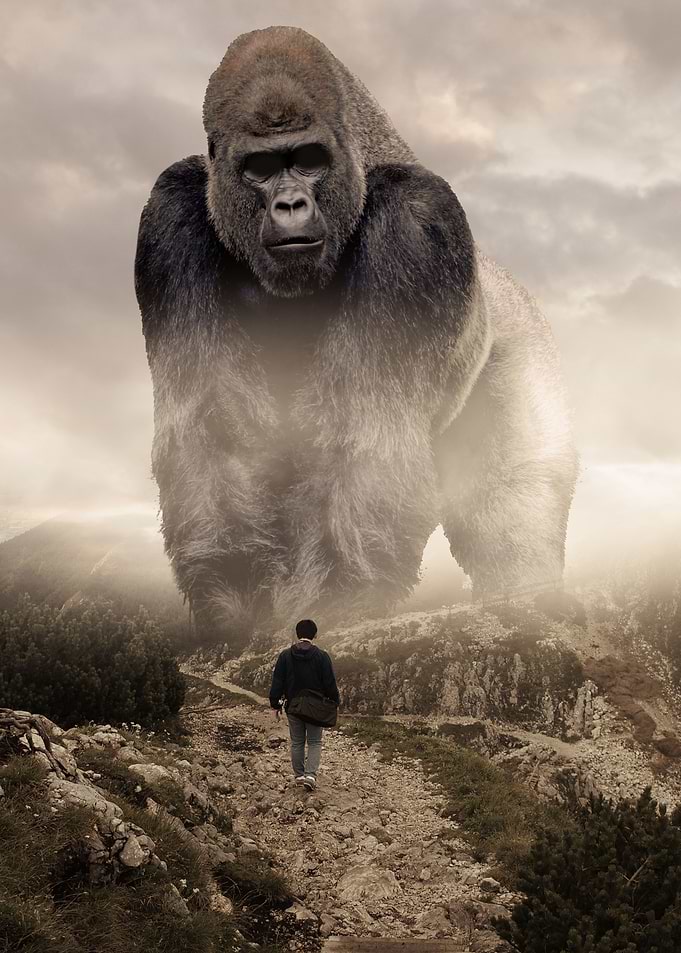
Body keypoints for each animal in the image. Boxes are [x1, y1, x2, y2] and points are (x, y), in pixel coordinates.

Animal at [135, 26, 578, 649]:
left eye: (309, 161)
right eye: (261, 168)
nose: (290, 204)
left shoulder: (417, 219)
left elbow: (366, 440)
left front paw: (335, 605)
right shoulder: (169, 214)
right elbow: (212, 431)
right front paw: (232, 604)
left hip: (527, 350)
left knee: (513, 521)